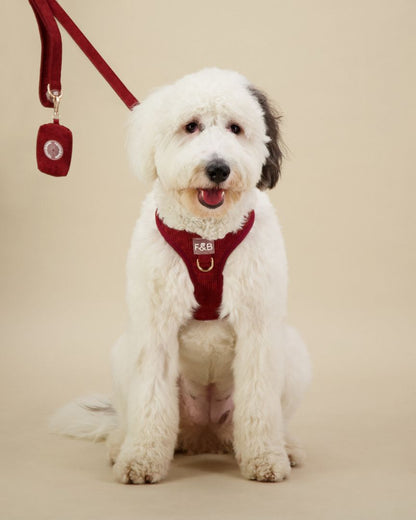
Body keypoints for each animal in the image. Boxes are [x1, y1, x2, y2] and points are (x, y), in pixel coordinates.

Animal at [50, 68, 310, 484]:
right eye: (191, 126)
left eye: (236, 128)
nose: (218, 169)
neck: (206, 238)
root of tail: (205, 435)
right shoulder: (155, 328)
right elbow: (150, 401)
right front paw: (140, 460)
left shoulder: (258, 328)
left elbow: (259, 403)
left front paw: (266, 458)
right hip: (124, 352)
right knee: (134, 414)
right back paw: (121, 443)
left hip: (292, 352)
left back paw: (285, 445)